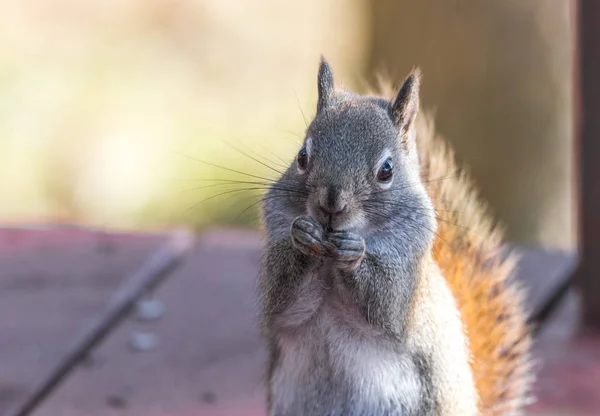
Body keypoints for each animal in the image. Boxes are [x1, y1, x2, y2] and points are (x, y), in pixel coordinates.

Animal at [255, 57, 532, 416]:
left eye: (386, 170)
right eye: (302, 157)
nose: (331, 205)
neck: (328, 262)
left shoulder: (407, 281)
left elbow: (386, 305)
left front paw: (354, 254)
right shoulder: (282, 288)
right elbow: (282, 304)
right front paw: (303, 238)